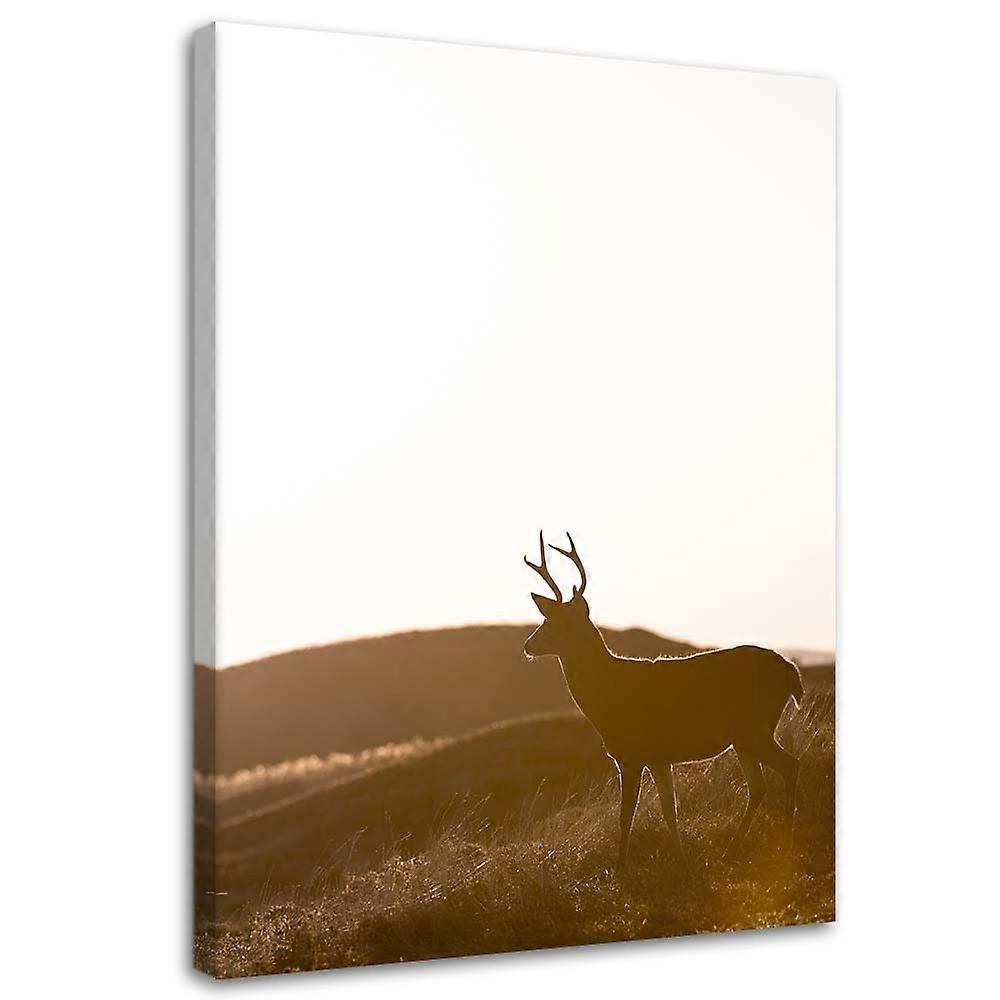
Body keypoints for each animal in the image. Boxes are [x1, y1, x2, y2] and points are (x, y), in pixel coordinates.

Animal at [523, 531, 802, 872]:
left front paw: (620, 869)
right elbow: (670, 810)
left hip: (754, 727)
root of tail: (790, 671)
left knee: (790, 766)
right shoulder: (659, 757)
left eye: (552, 623)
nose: (528, 645)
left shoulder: (631, 754)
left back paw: (786, 841)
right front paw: (682, 861)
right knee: (759, 786)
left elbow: (626, 814)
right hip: (744, 737)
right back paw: (731, 852)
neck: (605, 693)